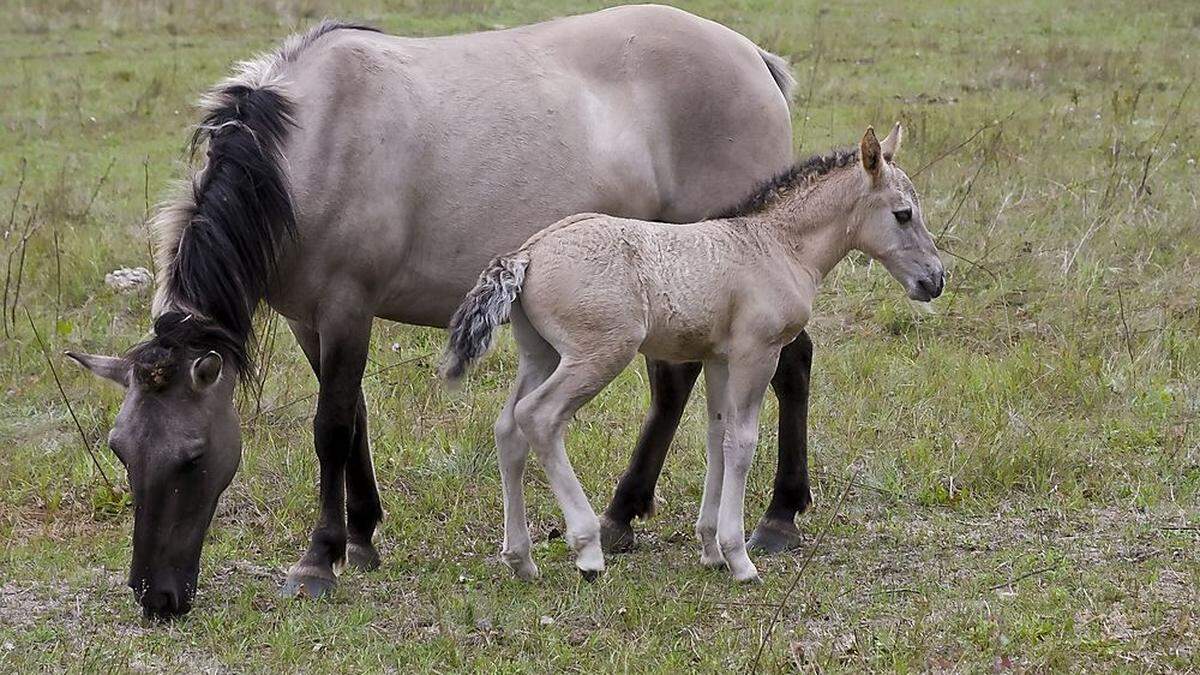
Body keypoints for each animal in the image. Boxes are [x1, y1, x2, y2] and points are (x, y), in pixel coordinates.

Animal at [65, 5, 816, 619]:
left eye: (192, 457)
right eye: (121, 450)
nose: (155, 598)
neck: (308, 149)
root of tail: (752, 56)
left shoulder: (346, 307)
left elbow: (331, 427)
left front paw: (318, 560)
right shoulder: (310, 319)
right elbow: (355, 419)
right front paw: (361, 536)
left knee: (791, 366)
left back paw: (777, 519)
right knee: (674, 383)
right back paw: (620, 516)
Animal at [444, 124, 945, 578]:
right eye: (903, 214)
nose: (935, 279)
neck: (778, 246)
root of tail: (527, 254)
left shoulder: (718, 358)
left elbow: (716, 438)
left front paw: (711, 549)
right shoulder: (756, 353)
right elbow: (742, 442)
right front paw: (739, 557)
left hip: (541, 354)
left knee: (509, 428)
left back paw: (521, 558)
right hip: (600, 353)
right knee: (539, 416)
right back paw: (588, 550)